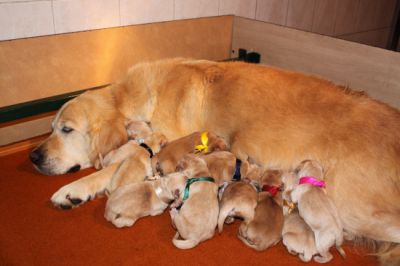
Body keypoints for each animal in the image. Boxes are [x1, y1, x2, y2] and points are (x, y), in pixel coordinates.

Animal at [30, 58, 400, 266]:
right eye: (50, 127)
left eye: (66, 129)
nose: (33, 156)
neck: (140, 97)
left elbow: (107, 168)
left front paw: (72, 190)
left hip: (358, 208)